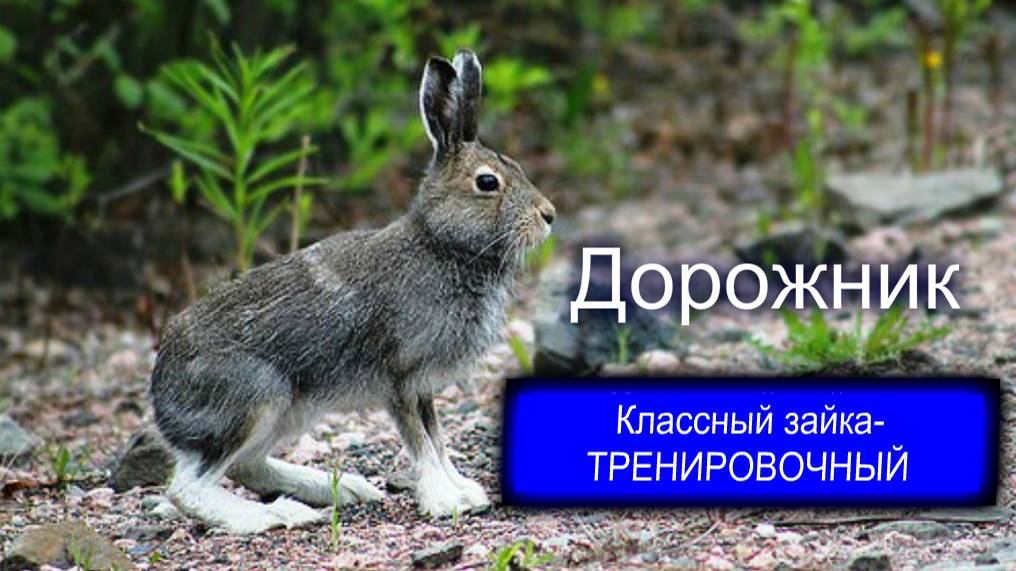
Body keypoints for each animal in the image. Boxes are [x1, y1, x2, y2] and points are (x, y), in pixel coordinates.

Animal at [149, 50, 556, 535]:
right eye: (487, 183)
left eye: (516, 167)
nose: (549, 215)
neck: (442, 244)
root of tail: (161, 389)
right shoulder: (400, 377)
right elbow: (420, 441)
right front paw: (444, 501)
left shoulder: (422, 387)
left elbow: (436, 438)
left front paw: (463, 490)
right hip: (254, 398)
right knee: (189, 487)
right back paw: (274, 515)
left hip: (288, 409)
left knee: (247, 467)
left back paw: (343, 489)